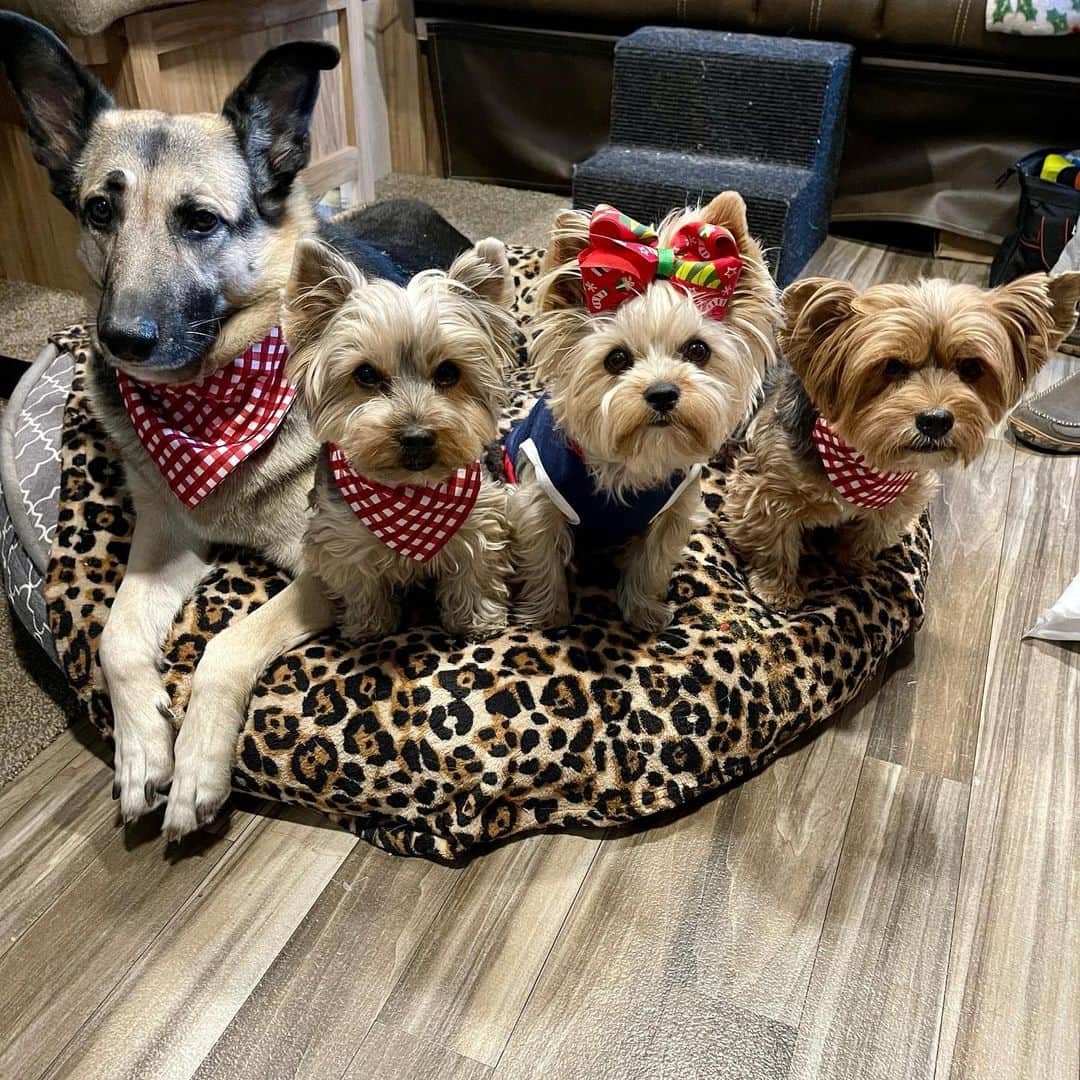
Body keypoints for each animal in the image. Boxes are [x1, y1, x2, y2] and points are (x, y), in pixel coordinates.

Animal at [2, 10, 470, 833]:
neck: (211, 402)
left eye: (199, 221)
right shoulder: (165, 541)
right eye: (99, 210)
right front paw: (142, 749)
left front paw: (195, 767)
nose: (121, 341)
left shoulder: (327, 571)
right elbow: (115, 637)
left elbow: (226, 642)